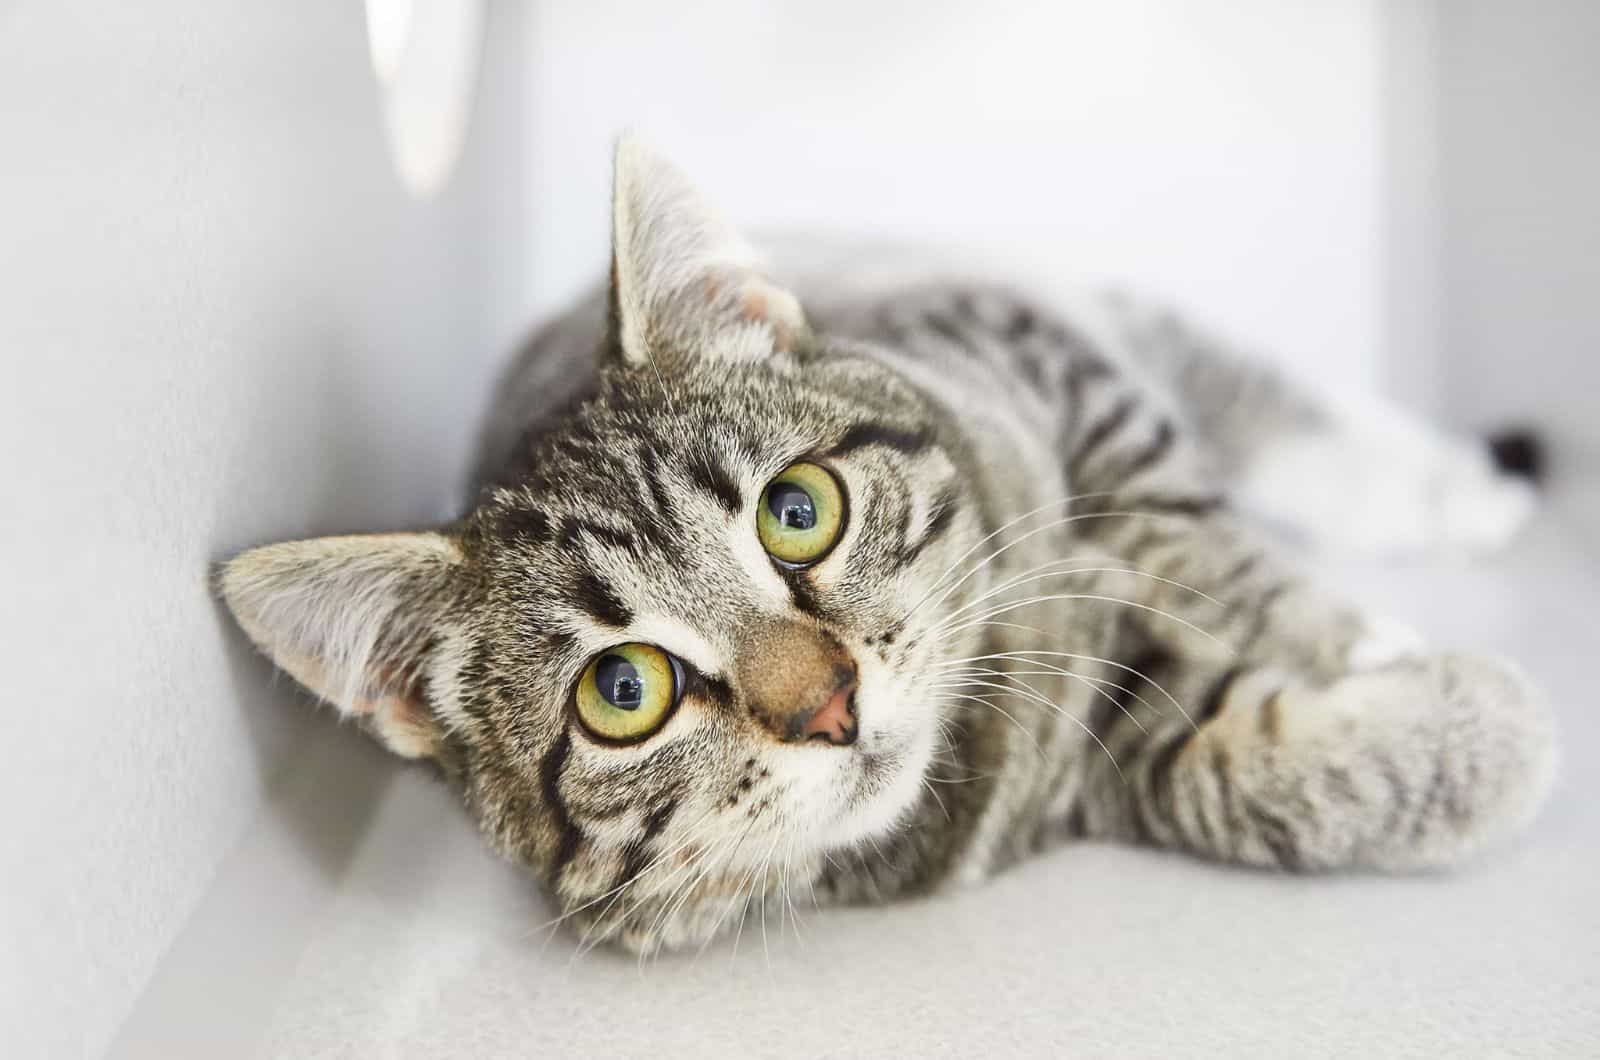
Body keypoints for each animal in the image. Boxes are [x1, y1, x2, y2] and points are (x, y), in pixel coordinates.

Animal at [222, 136, 1548, 960]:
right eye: (622, 691)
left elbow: (1184, 532)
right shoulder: (1104, 752)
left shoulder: (1063, 378)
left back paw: (1453, 488)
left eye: (795, 511)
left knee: (1254, 403)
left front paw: (1349, 636)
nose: (829, 705)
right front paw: (1479, 728)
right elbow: (1237, 777)